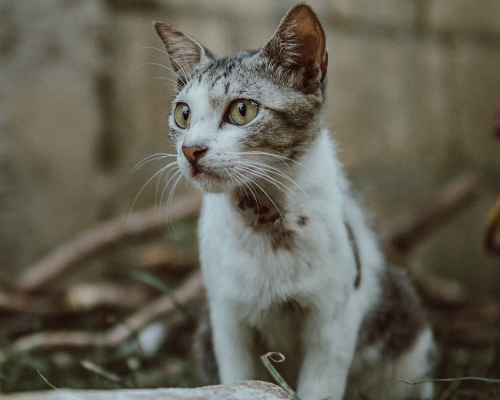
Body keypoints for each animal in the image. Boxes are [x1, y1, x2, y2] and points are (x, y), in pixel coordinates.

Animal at [154, 3, 436, 400]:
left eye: (242, 110)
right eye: (183, 114)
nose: (190, 149)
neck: (263, 218)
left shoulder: (334, 319)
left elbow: (322, 388)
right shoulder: (227, 319)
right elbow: (238, 377)